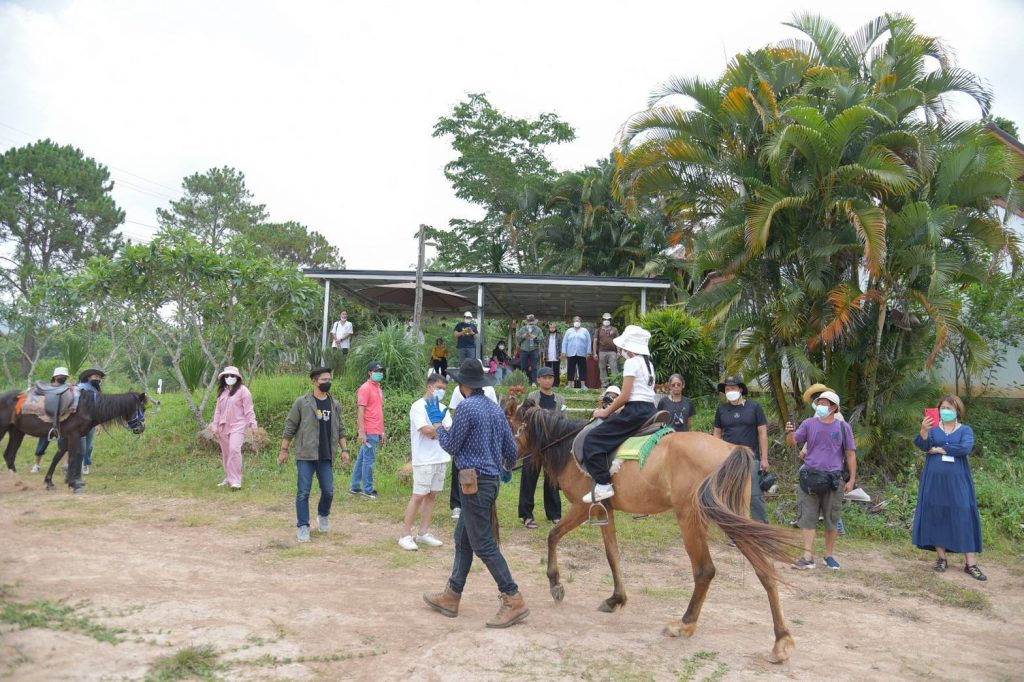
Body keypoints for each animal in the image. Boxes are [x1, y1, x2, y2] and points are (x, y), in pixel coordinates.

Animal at [1, 388, 149, 492]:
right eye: (143, 408)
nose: (141, 428)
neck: (87, 408)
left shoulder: (67, 437)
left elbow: (58, 456)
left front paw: (49, 482)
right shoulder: (73, 435)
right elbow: (72, 457)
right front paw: (74, 485)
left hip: (17, 432)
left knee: (9, 455)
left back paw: (19, 483)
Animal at [509, 398, 798, 664]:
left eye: (510, 424)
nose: (505, 460)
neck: (568, 448)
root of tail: (731, 448)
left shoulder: (582, 507)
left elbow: (553, 536)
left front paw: (555, 584)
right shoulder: (605, 511)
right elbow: (612, 555)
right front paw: (616, 599)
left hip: (691, 518)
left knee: (705, 570)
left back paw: (685, 624)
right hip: (735, 516)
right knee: (764, 568)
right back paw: (781, 640)